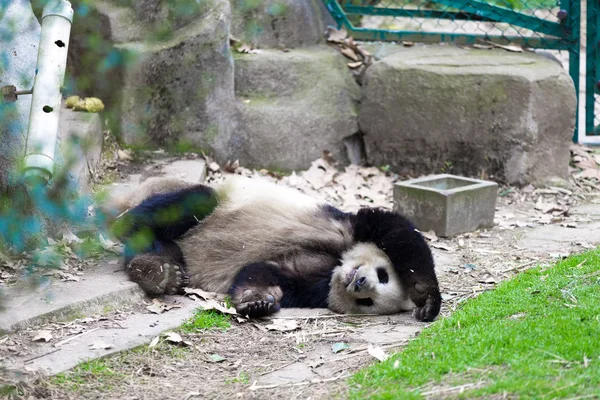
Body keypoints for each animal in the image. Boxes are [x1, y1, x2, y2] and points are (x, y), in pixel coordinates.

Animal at [104, 175, 440, 322]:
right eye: (383, 275)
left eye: (368, 301)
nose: (359, 282)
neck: (336, 265)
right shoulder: (348, 228)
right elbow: (394, 231)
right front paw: (426, 298)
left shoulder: (312, 287)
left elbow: (268, 271)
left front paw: (257, 302)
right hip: (201, 199)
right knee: (185, 205)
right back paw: (149, 263)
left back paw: (161, 272)